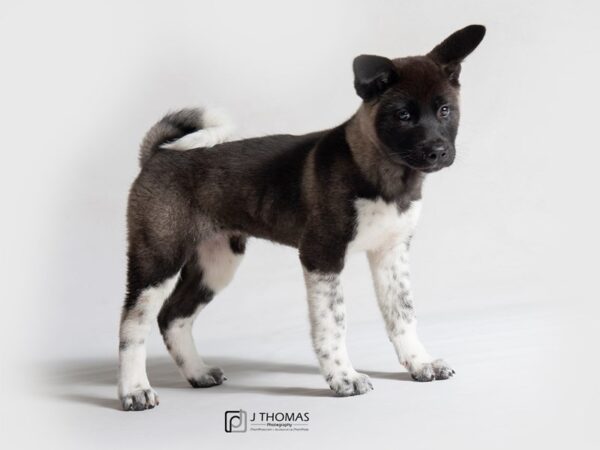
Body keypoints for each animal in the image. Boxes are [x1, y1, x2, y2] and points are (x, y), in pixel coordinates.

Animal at [118, 24, 488, 412]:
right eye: (403, 116)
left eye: (444, 110)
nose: (438, 151)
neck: (386, 176)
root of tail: (156, 155)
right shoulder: (321, 256)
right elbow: (333, 323)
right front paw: (343, 377)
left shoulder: (391, 254)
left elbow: (402, 314)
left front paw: (419, 363)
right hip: (157, 260)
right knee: (133, 324)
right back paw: (134, 390)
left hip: (217, 262)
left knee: (172, 317)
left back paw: (197, 373)